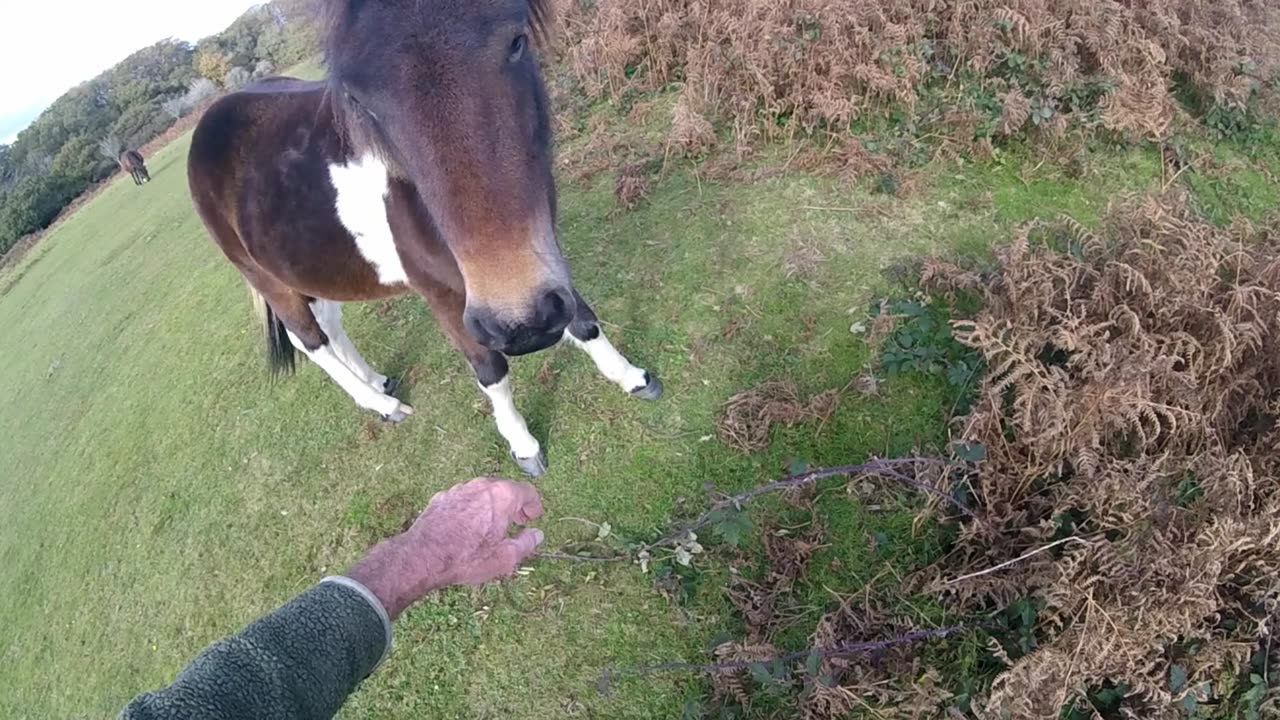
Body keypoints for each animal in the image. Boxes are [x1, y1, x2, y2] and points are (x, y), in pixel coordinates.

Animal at [186, 0, 665, 476]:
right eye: (360, 99)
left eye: (516, 42)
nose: (523, 325)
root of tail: (209, 123)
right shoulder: (444, 293)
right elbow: (490, 369)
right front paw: (523, 445)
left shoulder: (538, 261)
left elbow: (581, 319)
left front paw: (632, 377)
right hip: (268, 280)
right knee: (311, 341)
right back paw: (381, 404)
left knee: (330, 325)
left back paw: (376, 380)